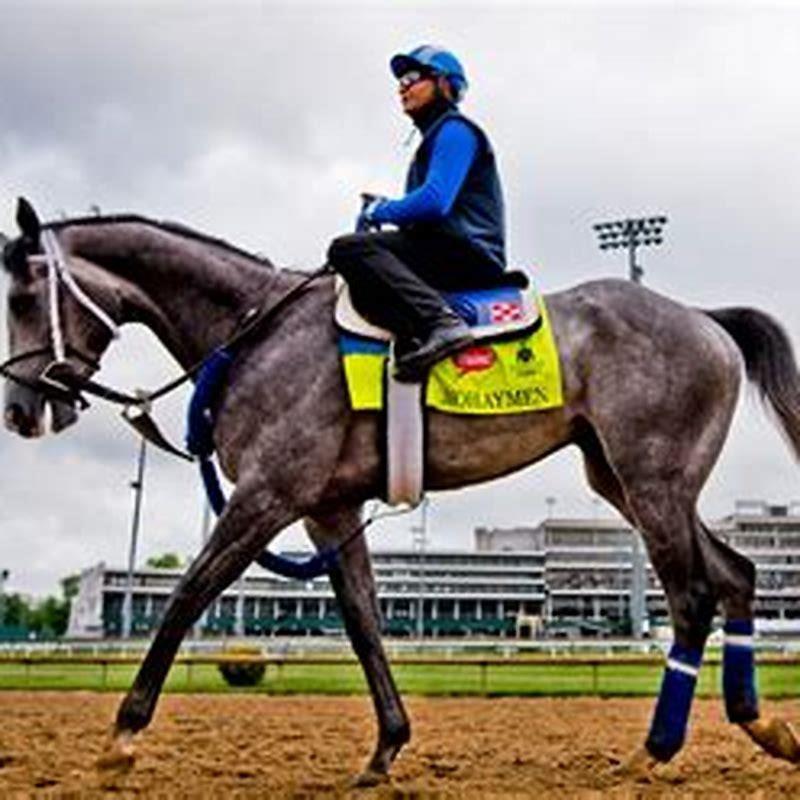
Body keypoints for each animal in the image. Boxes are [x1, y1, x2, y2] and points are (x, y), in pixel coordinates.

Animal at [3, 197, 800, 784]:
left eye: (22, 293)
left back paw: (654, 749)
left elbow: (186, 596)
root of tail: (704, 318)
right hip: (627, 478)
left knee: (692, 596)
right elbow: (362, 622)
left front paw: (122, 737)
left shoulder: (268, 494)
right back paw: (761, 723)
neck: (257, 329)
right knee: (737, 574)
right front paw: (386, 745)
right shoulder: (327, 509)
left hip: (651, 480)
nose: (19, 409)